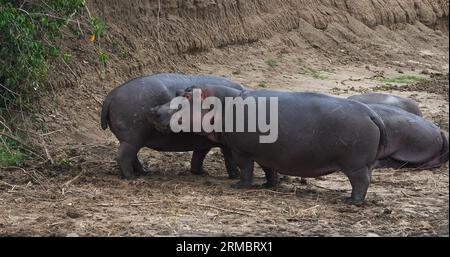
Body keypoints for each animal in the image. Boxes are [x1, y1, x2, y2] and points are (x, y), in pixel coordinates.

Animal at [100, 73, 244, 179]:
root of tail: (111, 95)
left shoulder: (204, 142)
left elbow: (199, 156)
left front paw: (201, 172)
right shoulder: (225, 144)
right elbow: (229, 158)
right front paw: (235, 175)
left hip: (130, 140)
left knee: (132, 156)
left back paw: (143, 172)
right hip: (132, 139)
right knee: (123, 156)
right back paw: (131, 177)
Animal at [151, 85, 386, 205]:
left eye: (186, 96)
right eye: (178, 92)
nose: (154, 110)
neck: (221, 103)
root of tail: (371, 113)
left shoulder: (242, 151)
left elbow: (245, 169)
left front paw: (239, 186)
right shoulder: (266, 152)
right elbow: (268, 170)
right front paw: (268, 185)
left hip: (355, 165)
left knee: (361, 182)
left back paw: (351, 202)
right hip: (364, 164)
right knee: (367, 180)